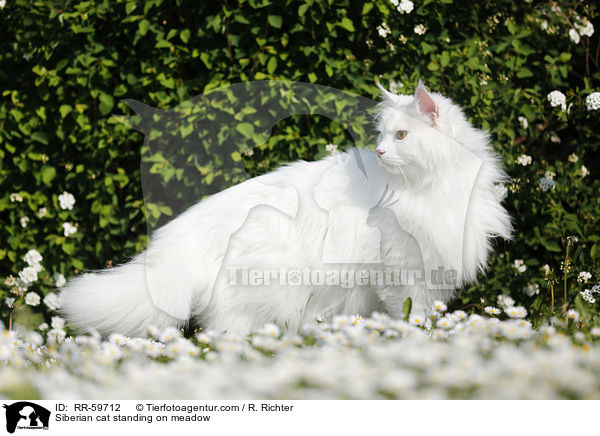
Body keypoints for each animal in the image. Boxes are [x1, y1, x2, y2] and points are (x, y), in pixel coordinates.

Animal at [59, 82, 510, 336]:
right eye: (383, 136)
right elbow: (412, 319)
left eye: (399, 136)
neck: (432, 185)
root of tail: (181, 236)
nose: (381, 151)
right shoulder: (402, 273)